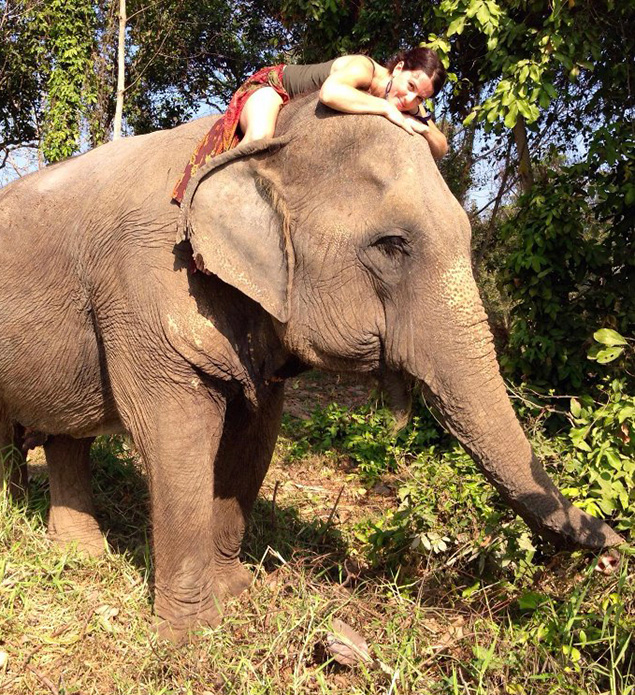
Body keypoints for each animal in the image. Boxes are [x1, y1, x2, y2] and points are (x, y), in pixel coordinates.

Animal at [0, 92, 620, 640]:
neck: (273, 140)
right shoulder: (144, 282)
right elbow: (176, 436)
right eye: (392, 245)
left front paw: (237, 594)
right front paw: (191, 637)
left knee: (67, 435)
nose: (614, 554)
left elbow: (254, 437)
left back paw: (81, 556)